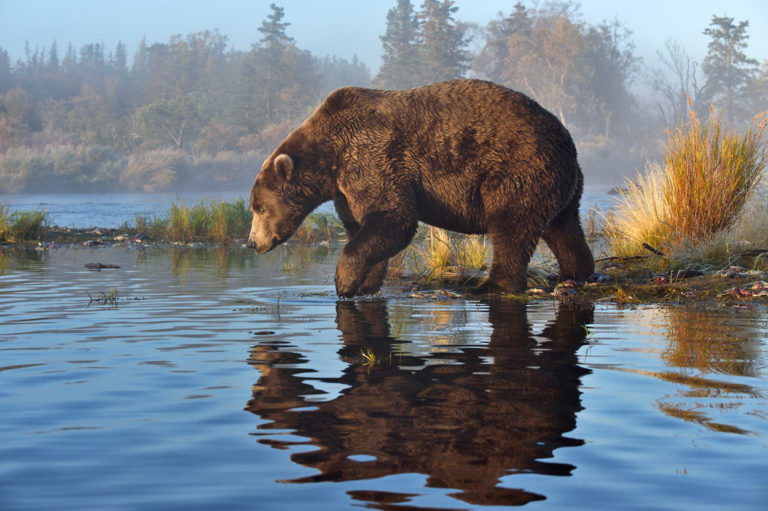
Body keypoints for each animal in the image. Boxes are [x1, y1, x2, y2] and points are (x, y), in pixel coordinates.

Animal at [247, 79, 594, 297]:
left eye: (259, 208)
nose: (251, 242)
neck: (331, 158)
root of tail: (568, 142)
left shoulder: (370, 158)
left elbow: (394, 218)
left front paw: (343, 282)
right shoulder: (346, 189)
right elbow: (364, 226)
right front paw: (364, 283)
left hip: (515, 168)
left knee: (511, 227)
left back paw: (492, 285)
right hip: (560, 183)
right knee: (562, 226)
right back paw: (574, 272)